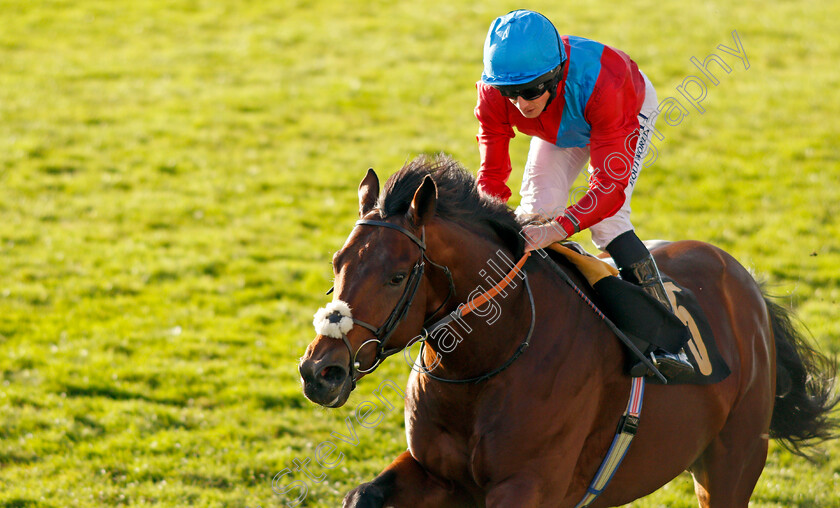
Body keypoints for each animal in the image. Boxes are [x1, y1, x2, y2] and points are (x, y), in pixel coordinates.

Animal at [298, 156, 836, 508]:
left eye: (395, 276)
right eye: (337, 262)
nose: (319, 371)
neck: (487, 364)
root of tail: (745, 281)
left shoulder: (528, 486)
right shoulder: (438, 473)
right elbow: (363, 495)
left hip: (733, 458)